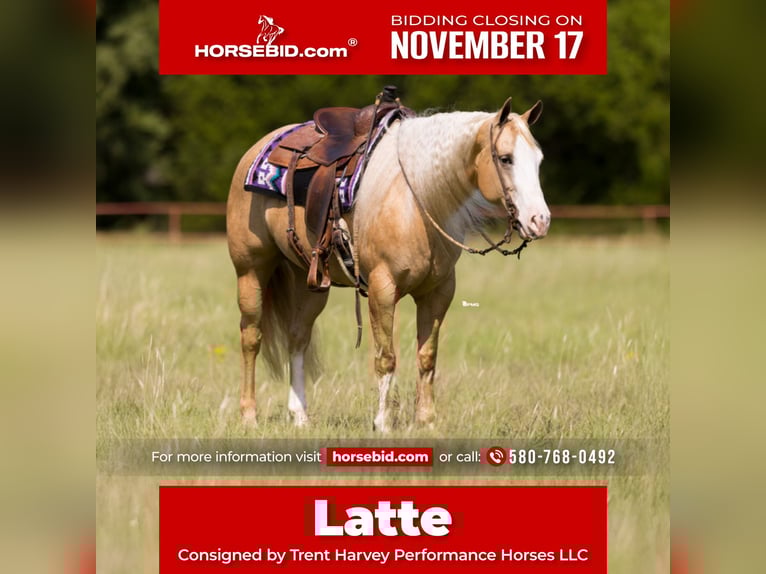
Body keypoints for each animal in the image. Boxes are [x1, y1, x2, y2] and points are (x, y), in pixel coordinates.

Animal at [226, 96, 550, 430]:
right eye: (506, 159)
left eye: (538, 160)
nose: (540, 220)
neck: (415, 201)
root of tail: (261, 146)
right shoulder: (382, 289)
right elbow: (386, 358)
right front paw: (382, 422)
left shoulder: (438, 292)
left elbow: (427, 356)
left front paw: (426, 421)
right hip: (251, 270)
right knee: (251, 337)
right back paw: (248, 415)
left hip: (310, 282)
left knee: (297, 338)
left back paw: (300, 416)